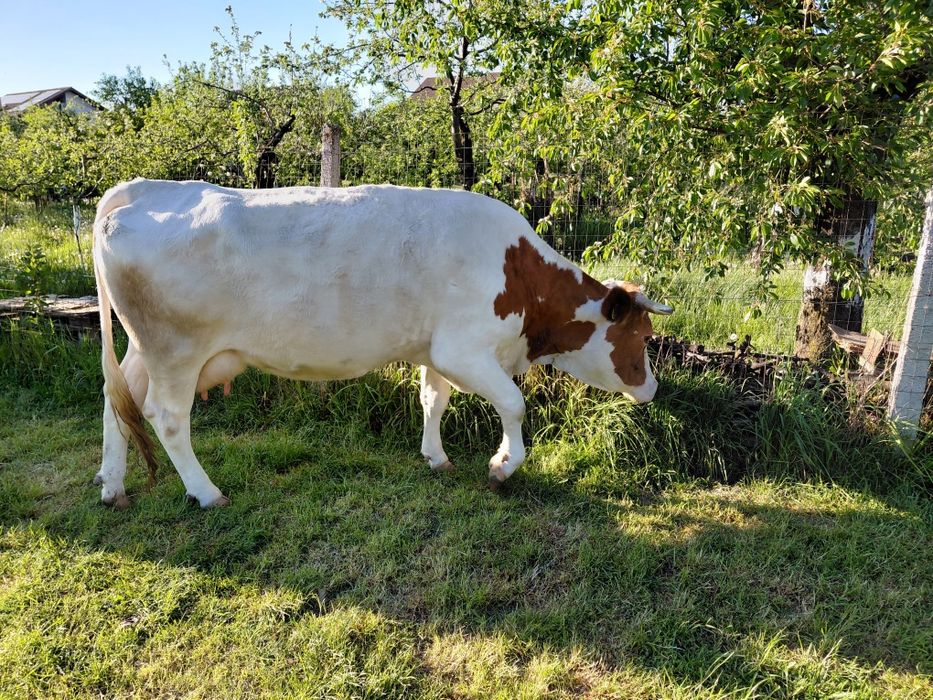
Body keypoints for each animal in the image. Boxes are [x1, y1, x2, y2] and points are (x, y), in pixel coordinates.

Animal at [92, 178, 672, 508]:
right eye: (644, 337)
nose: (652, 389)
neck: (519, 274)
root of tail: (146, 189)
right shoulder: (463, 349)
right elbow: (513, 403)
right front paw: (502, 466)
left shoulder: (434, 350)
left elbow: (433, 400)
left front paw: (436, 457)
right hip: (175, 350)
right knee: (166, 417)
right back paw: (206, 492)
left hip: (142, 349)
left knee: (117, 402)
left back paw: (112, 487)